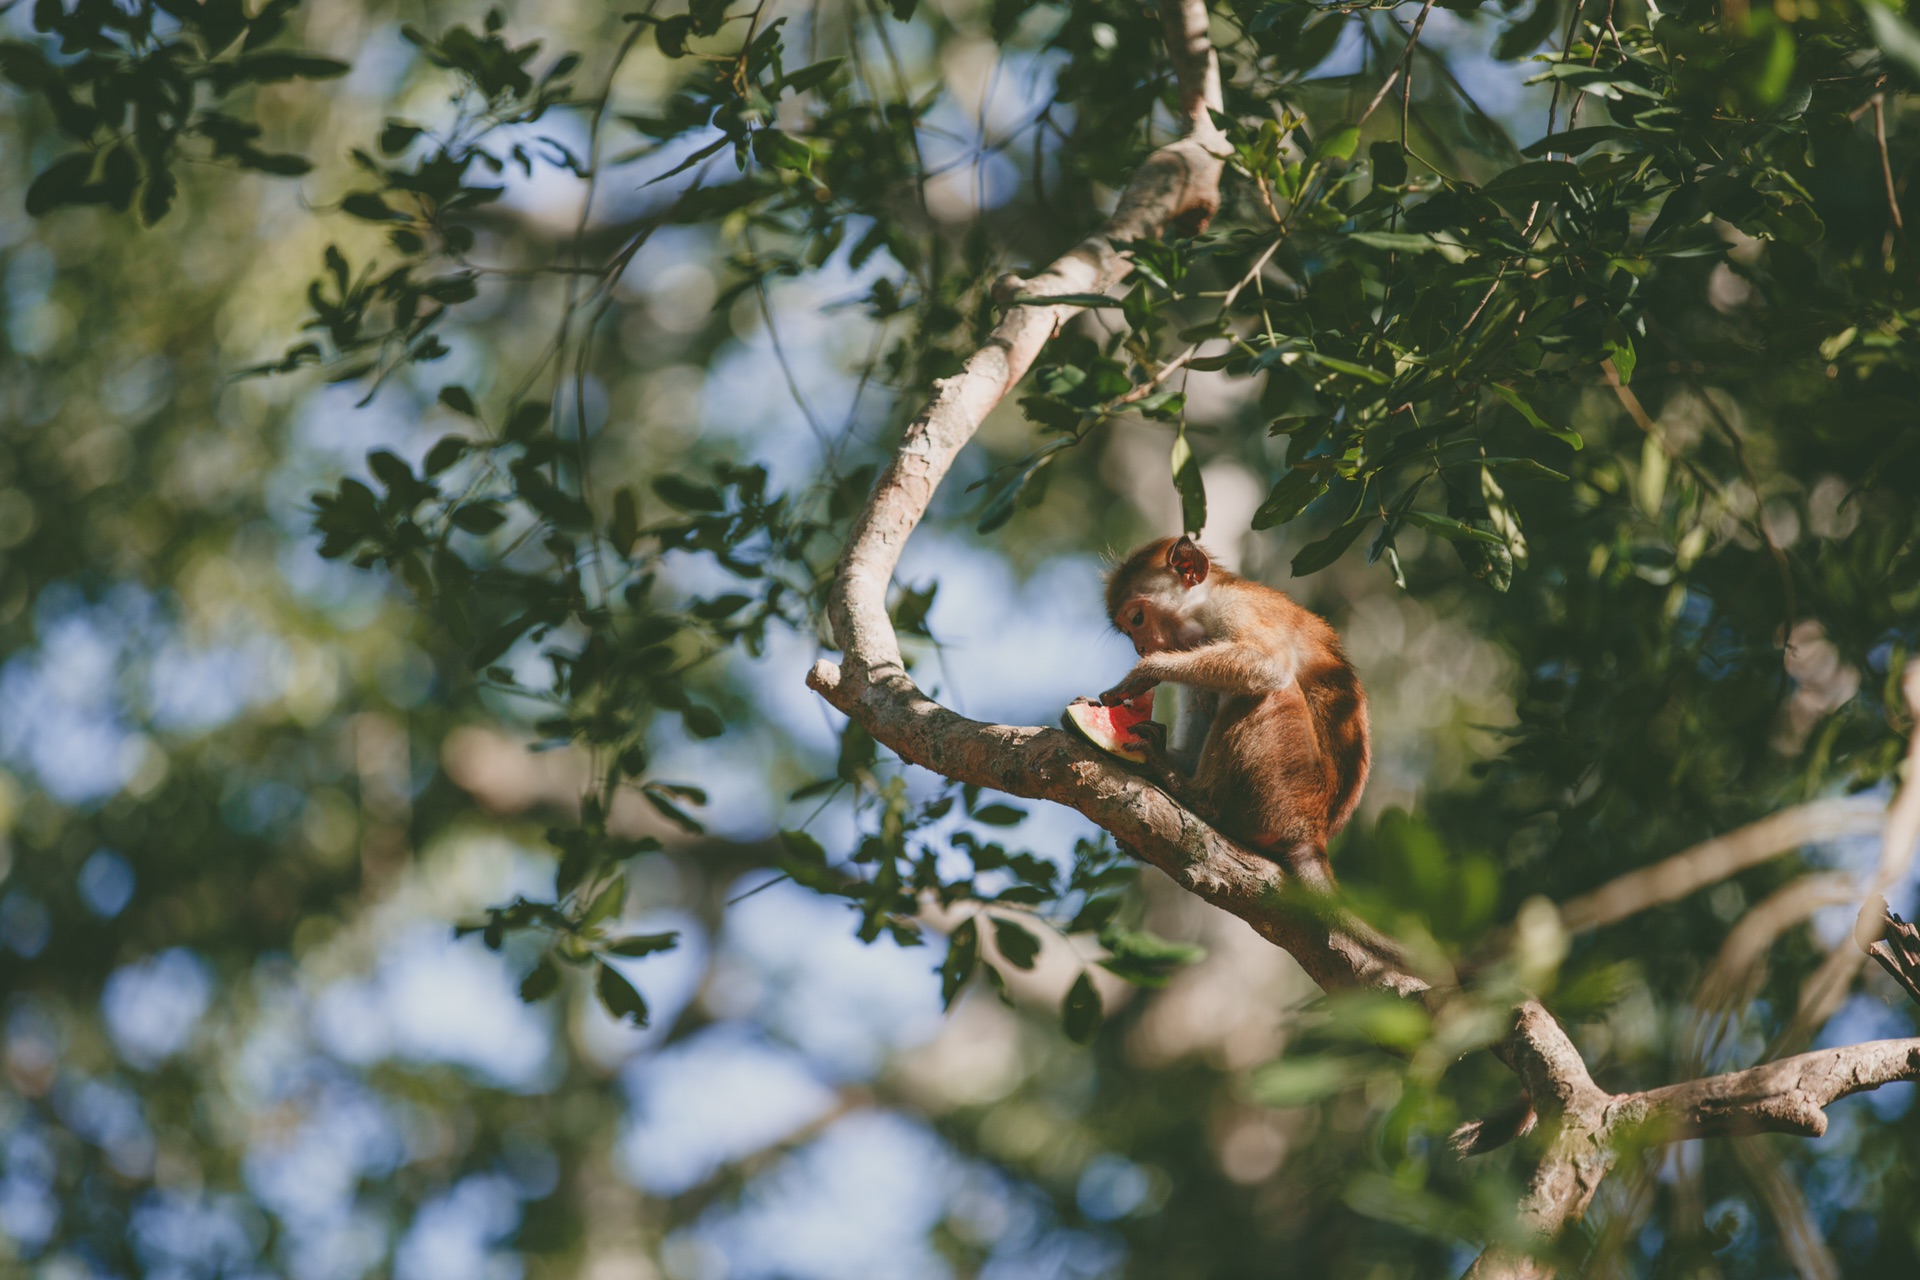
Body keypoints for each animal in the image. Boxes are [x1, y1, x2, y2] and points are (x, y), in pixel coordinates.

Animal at [1098, 537, 1367, 886]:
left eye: (1138, 620)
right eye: (1128, 630)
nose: (1140, 648)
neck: (1204, 607)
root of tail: (1314, 835)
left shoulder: (1234, 606)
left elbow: (1269, 665)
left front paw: (1145, 672)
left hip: (1290, 794)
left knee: (1271, 691)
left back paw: (1197, 797)